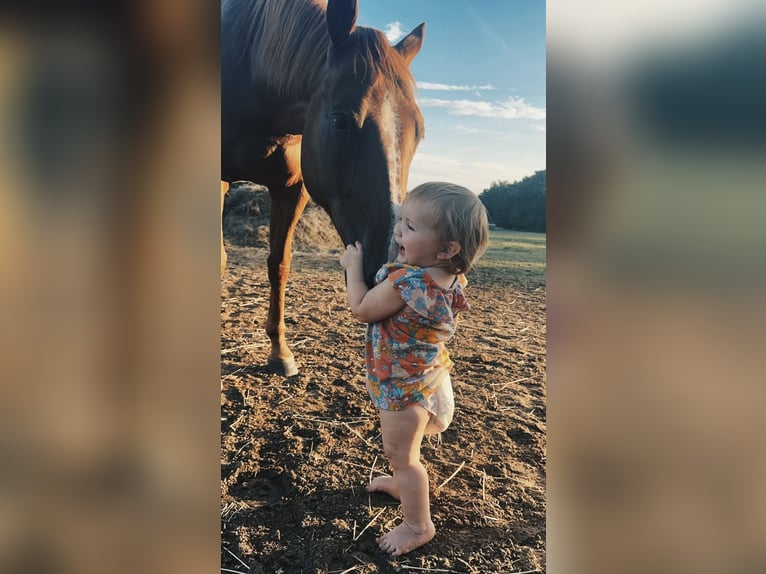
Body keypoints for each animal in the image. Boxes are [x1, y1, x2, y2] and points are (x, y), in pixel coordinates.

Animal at [222, 0, 426, 378]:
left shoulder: (292, 190)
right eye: (340, 119)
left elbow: (280, 264)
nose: (391, 261)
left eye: (419, 130)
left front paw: (280, 352)